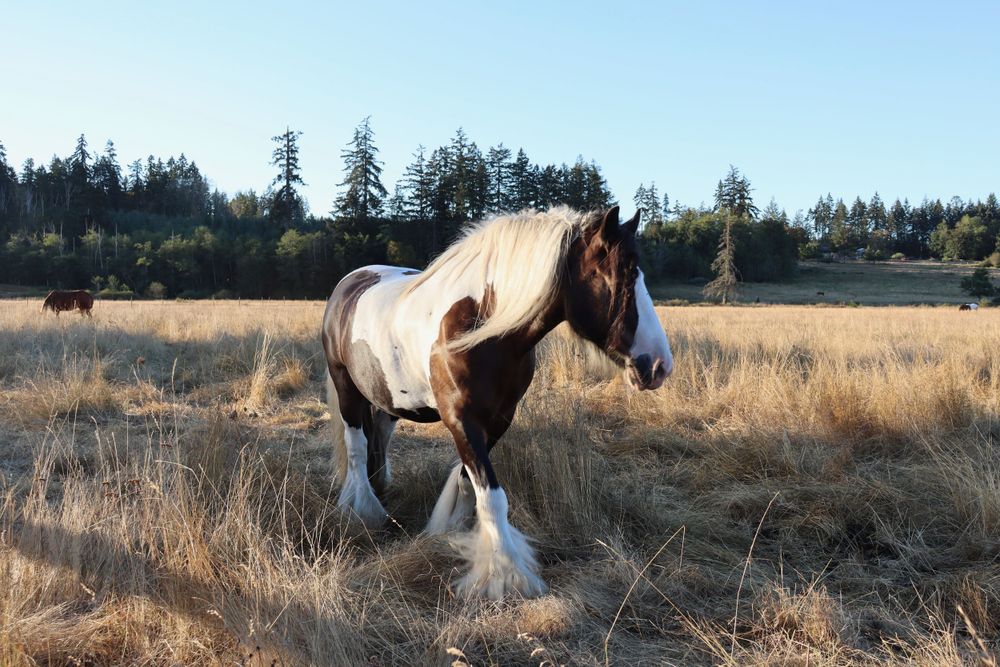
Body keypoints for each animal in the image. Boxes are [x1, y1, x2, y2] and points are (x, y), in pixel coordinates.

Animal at [321, 206, 673, 598]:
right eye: (618, 276)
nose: (658, 365)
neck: (482, 326)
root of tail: (349, 283)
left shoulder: (499, 418)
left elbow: (466, 482)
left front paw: (453, 533)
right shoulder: (461, 419)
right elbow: (491, 496)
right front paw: (505, 574)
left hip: (389, 398)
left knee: (379, 435)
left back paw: (379, 484)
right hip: (346, 388)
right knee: (356, 445)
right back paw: (363, 508)